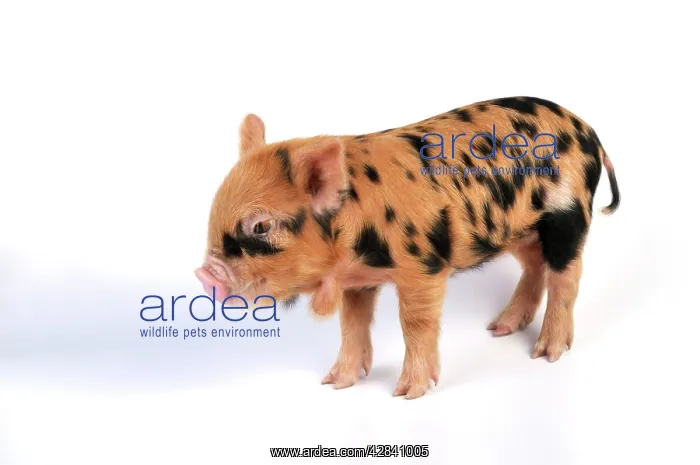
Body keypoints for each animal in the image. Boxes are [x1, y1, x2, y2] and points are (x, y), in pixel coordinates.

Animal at [195, 96, 620, 399]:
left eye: (261, 226)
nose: (205, 275)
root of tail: (590, 131)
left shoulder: (424, 267)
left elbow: (415, 323)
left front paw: (407, 393)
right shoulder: (358, 279)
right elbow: (352, 323)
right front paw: (335, 383)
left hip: (567, 217)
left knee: (566, 276)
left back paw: (546, 353)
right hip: (521, 231)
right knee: (534, 267)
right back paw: (498, 328)